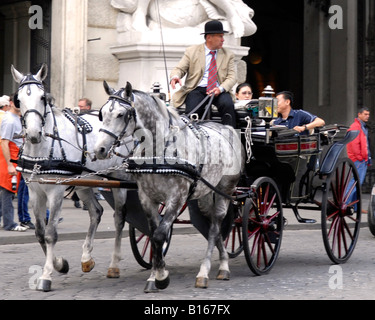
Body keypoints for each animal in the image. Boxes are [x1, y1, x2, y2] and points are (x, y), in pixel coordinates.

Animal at [11, 63, 131, 292]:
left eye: (43, 97)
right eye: (18, 100)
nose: (33, 134)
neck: (43, 147)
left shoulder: (56, 191)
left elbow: (51, 233)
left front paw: (47, 275)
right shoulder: (35, 191)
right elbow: (40, 233)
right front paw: (60, 264)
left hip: (119, 179)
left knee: (119, 219)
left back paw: (114, 265)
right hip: (84, 183)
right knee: (96, 212)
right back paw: (86, 258)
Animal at [95, 82, 245, 290]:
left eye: (120, 114)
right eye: (101, 114)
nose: (99, 149)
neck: (158, 152)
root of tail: (227, 127)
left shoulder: (177, 197)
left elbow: (159, 235)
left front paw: (160, 277)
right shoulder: (147, 197)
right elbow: (153, 234)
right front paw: (155, 274)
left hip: (225, 188)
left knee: (216, 225)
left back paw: (207, 271)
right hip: (206, 191)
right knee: (212, 223)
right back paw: (222, 262)